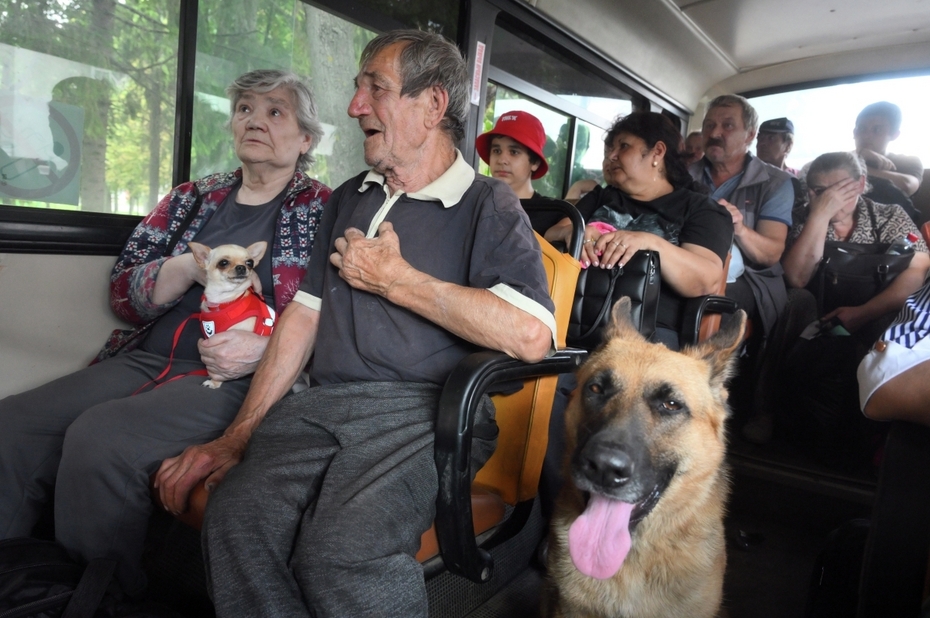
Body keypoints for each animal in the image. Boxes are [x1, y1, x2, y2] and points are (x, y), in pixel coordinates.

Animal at [188, 239, 276, 388]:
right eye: (223, 262)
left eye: (250, 263)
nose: (242, 267)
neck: (222, 302)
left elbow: (217, 372)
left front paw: (214, 382)